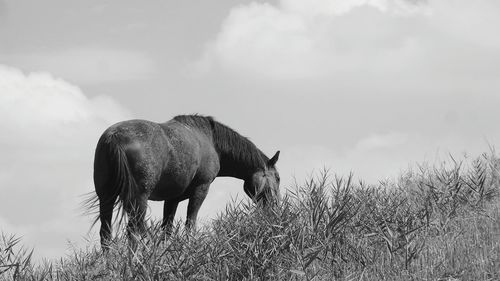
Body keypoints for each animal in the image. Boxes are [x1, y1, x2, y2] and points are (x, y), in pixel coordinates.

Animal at [92, 114, 280, 249]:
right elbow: (190, 225)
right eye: (277, 178)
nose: (275, 207)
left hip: (106, 197)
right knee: (133, 233)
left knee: (105, 234)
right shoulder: (201, 189)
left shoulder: (171, 199)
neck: (211, 142)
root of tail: (114, 137)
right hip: (139, 198)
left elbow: (166, 231)